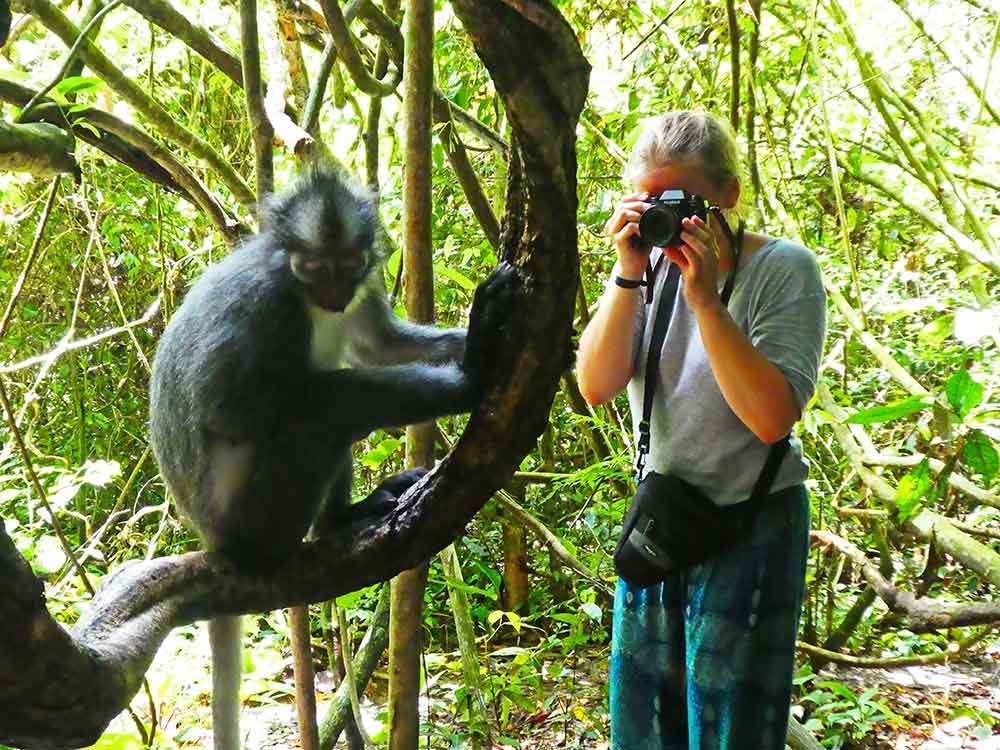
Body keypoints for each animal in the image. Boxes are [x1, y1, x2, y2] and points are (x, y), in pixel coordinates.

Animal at [148, 166, 513, 750]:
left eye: (347, 267)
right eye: (314, 269)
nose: (335, 295)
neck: (305, 297)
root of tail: (211, 536)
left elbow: (379, 346)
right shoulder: (263, 306)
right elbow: (228, 409)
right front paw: (474, 364)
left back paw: (344, 517)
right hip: (251, 514)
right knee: (320, 414)